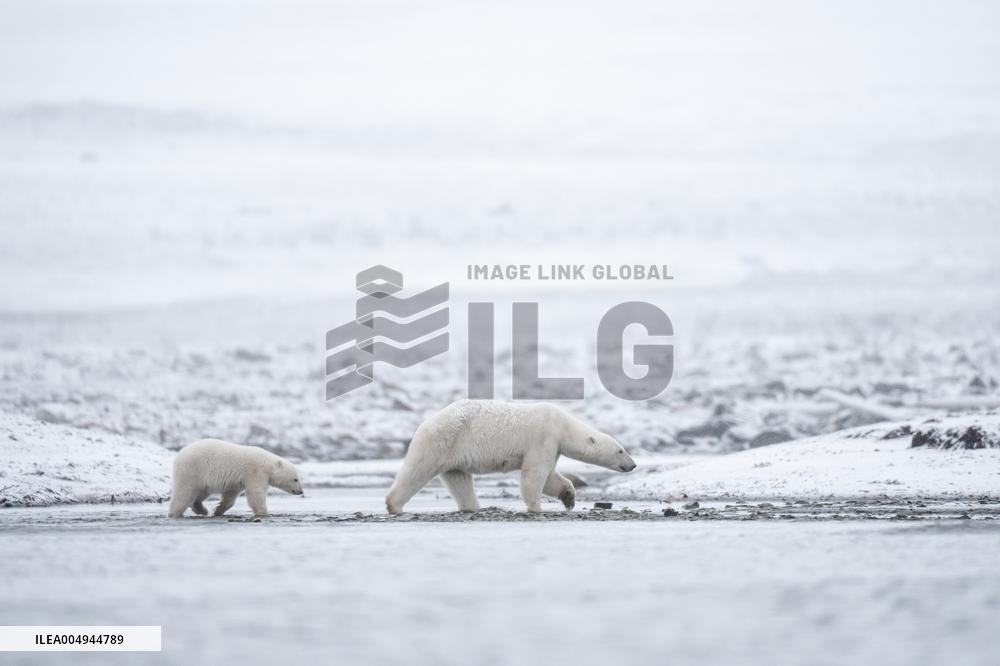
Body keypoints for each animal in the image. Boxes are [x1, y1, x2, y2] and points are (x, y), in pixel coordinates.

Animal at [168, 438, 303, 518]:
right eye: (295, 479)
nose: (300, 491)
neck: (267, 464)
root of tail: (180, 454)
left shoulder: (236, 481)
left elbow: (230, 496)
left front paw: (218, 510)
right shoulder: (255, 473)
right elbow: (256, 493)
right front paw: (263, 513)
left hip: (200, 478)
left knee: (200, 492)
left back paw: (201, 509)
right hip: (192, 470)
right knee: (184, 493)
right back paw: (175, 513)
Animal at [385, 400, 636, 514]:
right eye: (621, 450)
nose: (633, 465)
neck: (562, 424)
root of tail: (425, 423)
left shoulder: (552, 446)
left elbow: (550, 478)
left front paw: (569, 497)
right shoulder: (543, 438)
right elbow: (534, 475)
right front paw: (536, 507)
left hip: (453, 455)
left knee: (459, 480)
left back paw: (473, 507)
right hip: (441, 441)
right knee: (417, 470)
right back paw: (393, 504)